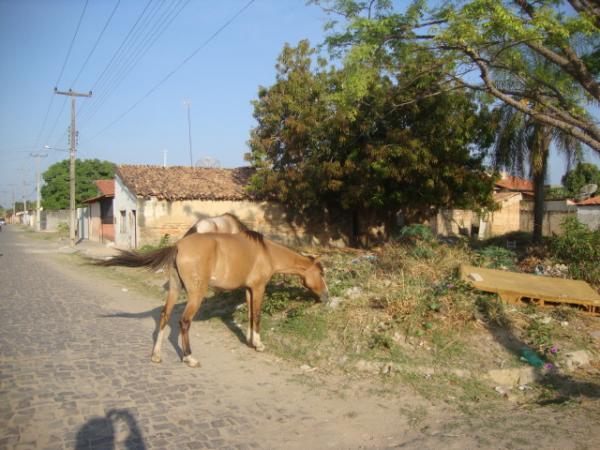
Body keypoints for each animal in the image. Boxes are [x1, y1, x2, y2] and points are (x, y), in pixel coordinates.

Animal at [100, 223, 330, 368]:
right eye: (321, 273)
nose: (326, 296)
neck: (266, 252)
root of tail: (178, 246)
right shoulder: (258, 288)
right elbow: (257, 316)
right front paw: (258, 344)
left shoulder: (248, 289)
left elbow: (249, 316)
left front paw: (249, 341)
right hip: (196, 294)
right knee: (184, 322)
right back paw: (190, 358)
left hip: (175, 289)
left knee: (165, 316)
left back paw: (156, 355)